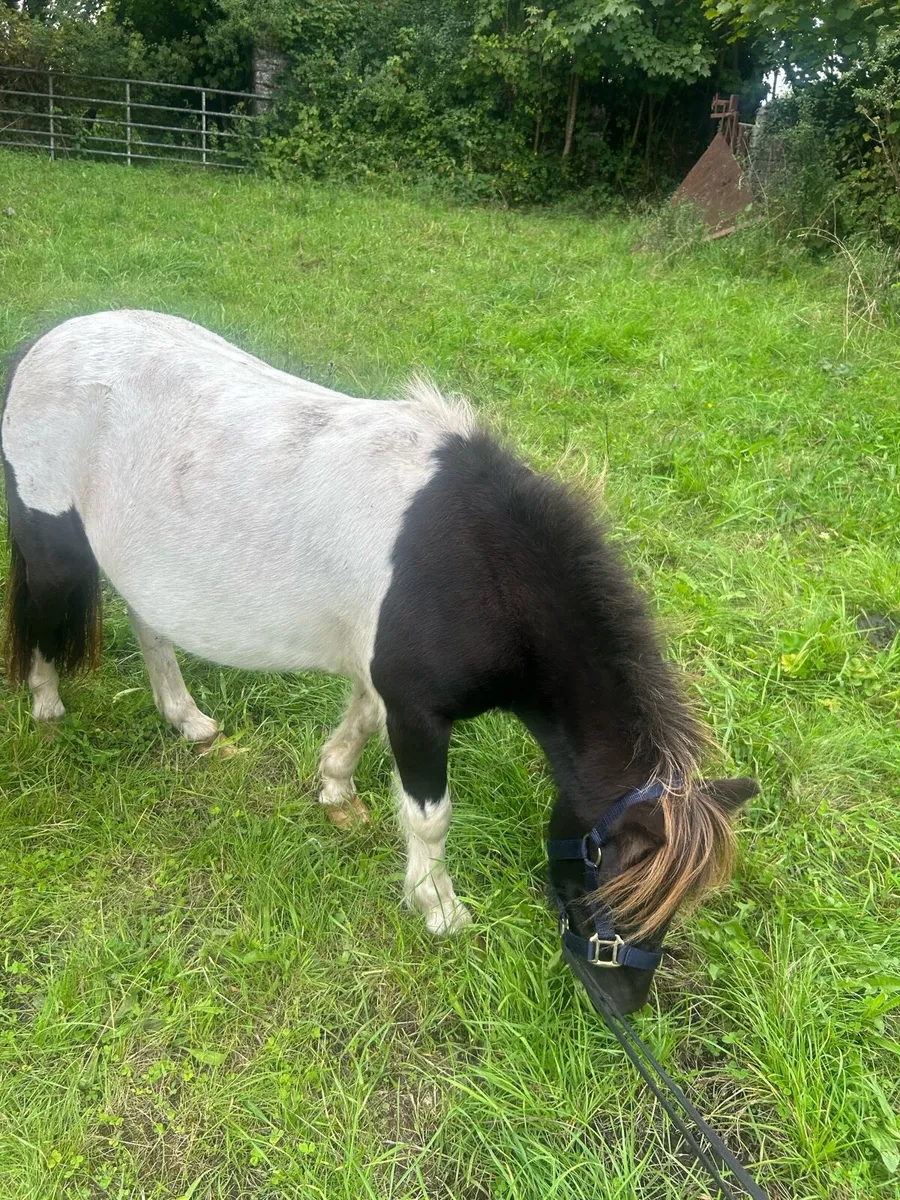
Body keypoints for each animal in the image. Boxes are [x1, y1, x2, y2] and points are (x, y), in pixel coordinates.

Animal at [1, 311, 757, 1013]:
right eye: (619, 881)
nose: (622, 1002)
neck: (479, 568)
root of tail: (46, 343)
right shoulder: (419, 715)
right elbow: (429, 817)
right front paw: (439, 908)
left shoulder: (385, 684)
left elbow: (358, 724)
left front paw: (336, 788)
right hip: (52, 547)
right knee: (37, 613)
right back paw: (46, 704)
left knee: (151, 631)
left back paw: (187, 720)